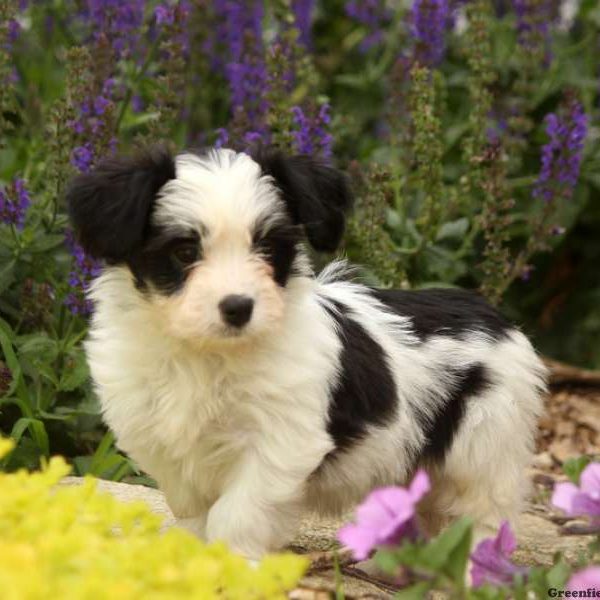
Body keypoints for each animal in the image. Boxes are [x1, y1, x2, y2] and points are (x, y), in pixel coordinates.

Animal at [68, 148, 548, 560]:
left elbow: (237, 512)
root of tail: (493, 315)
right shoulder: (163, 442)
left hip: (485, 447)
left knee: (483, 518)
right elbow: (193, 511)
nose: (238, 307)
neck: (206, 353)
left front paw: (237, 564)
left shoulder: (279, 442)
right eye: (185, 252)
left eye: (266, 247)